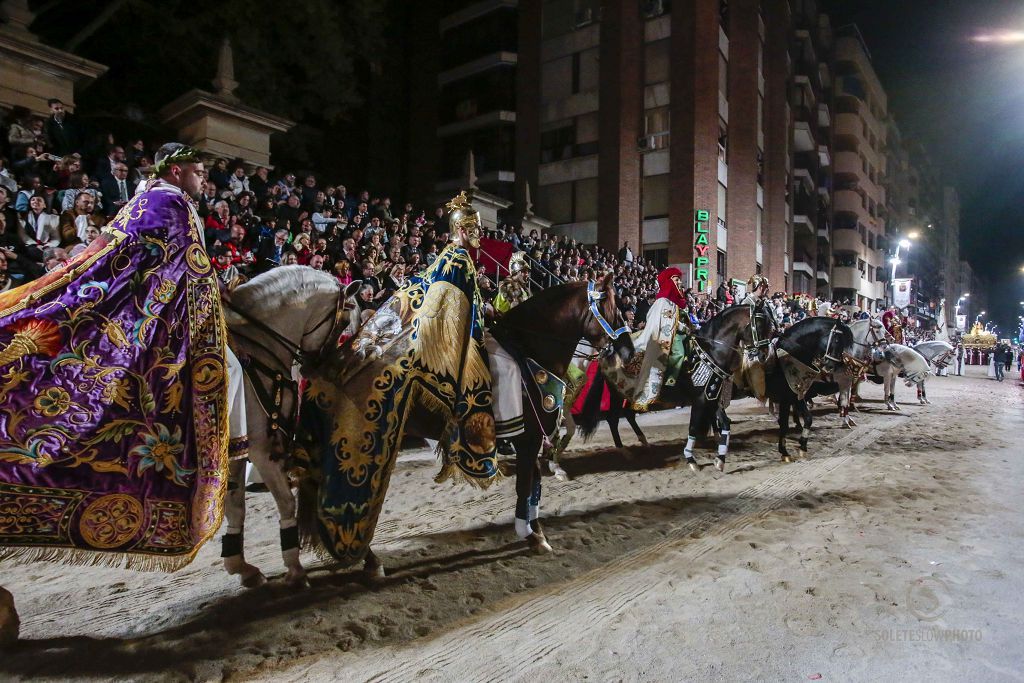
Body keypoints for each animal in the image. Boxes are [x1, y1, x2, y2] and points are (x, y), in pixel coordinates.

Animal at [222, 266, 362, 589]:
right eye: (344, 321)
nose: (317, 368)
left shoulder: (238, 448)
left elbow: (236, 506)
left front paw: (242, 567)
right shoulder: (261, 450)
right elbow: (287, 502)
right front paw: (295, 568)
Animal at [581, 301, 770, 473]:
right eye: (760, 325)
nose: (764, 355)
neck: (710, 351)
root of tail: (606, 352)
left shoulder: (712, 396)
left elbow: (725, 423)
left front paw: (720, 460)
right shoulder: (700, 399)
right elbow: (693, 426)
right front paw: (691, 460)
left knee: (628, 414)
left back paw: (644, 442)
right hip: (616, 394)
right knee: (612, 419)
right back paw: (625, 451)